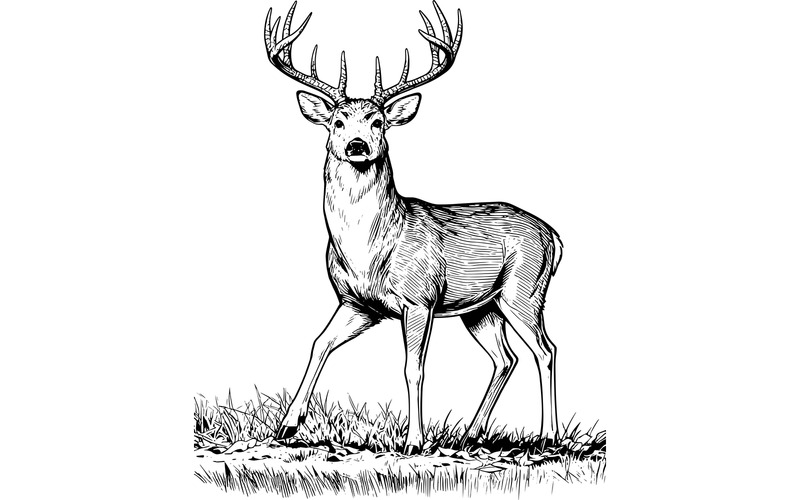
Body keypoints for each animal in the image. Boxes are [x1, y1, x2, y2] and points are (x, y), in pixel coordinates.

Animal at [264, 1, 563, 454]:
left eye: (378, 122)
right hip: (481, 308)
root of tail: (554, 237)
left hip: (524, 290)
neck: (370, 250)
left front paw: (414, 441)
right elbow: (318, 344)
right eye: (337, 122)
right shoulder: (357, 304)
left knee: (545, 350)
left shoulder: (419, 299)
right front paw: (287, 425)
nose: (357, 145)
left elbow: (413, 367)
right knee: (504, 357)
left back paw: (548, 436)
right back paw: (471, 433)